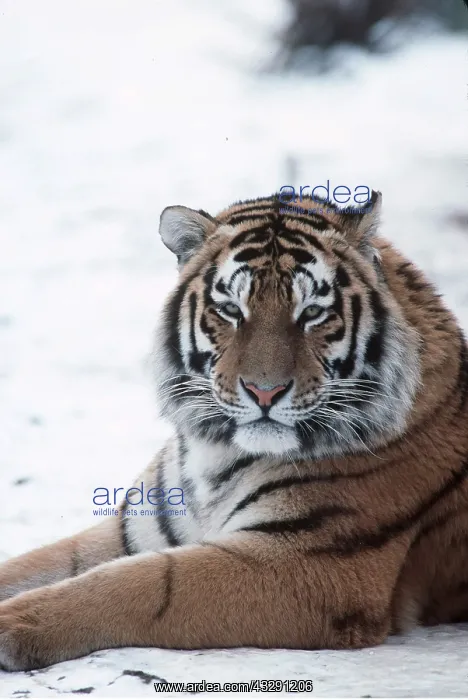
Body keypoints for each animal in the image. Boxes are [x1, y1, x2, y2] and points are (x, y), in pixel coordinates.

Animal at [1, 191, 468, 672]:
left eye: (312, 313)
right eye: (230, 311)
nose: (266, 392)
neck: (215, 453)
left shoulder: (314, 560)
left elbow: (149, 583)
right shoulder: (135, 530)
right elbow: (37, 564)